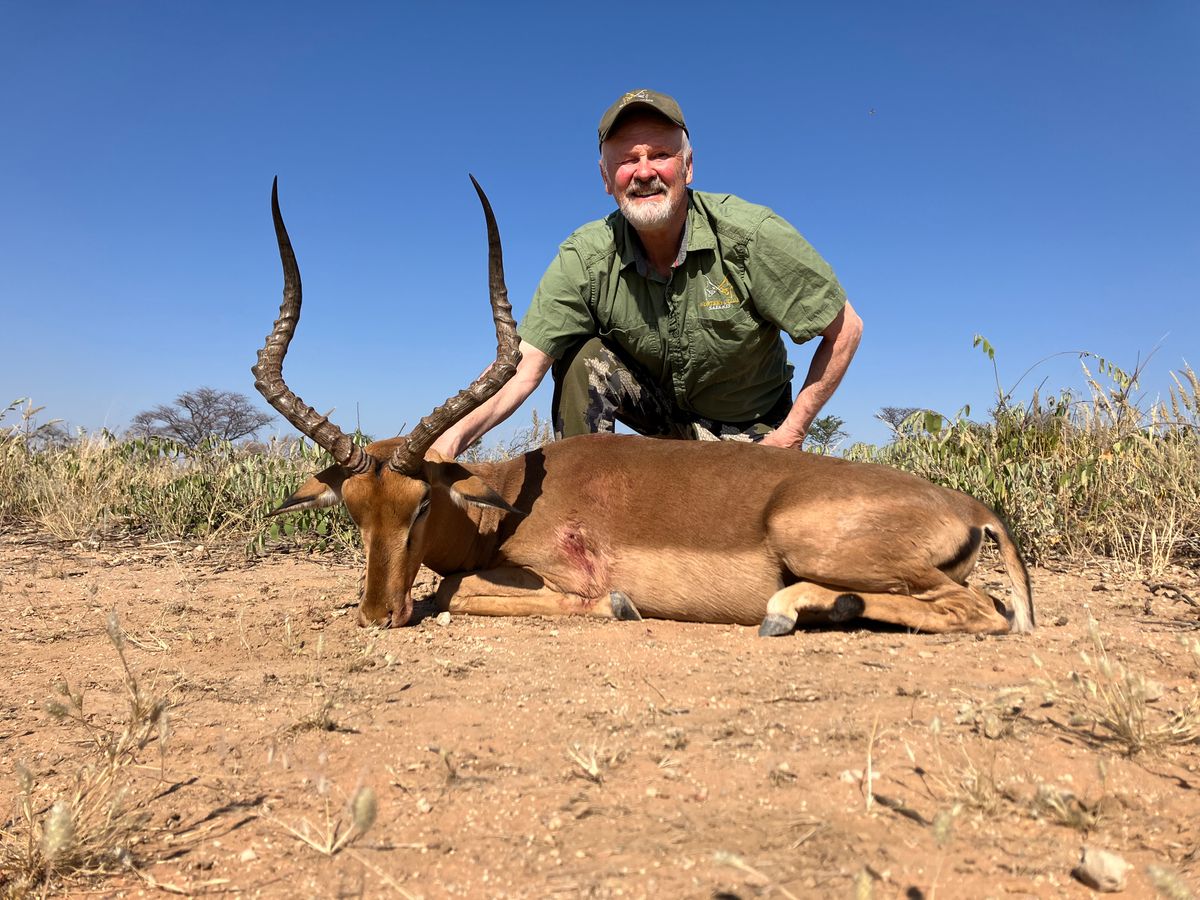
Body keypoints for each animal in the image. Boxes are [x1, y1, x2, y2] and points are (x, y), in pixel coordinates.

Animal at [253, 178, 1034, 637]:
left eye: (420, 505)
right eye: (354, 512)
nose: (375, 614)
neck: (505, 504)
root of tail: (973, 507)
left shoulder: (554, 573)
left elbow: (456, 591)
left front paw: (617, 604)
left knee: (984, 610)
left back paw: (787, 613)